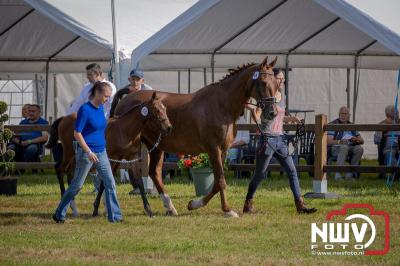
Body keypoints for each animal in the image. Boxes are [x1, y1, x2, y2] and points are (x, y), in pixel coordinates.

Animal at [114, 55, 280, 216]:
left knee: (154, 172)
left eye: (277, 83)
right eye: (263, 82)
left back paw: (170, 207)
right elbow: (220, 181)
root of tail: (129, 97)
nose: (272, 113)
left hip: (155, 146)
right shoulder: (213, 149)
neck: (221, 105)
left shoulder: (223, 150)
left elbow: (217, 182)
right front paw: (225, 210)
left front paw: (196, 204)